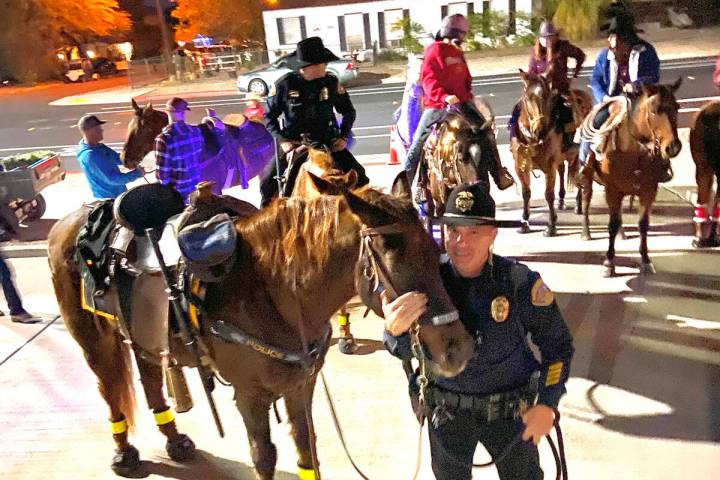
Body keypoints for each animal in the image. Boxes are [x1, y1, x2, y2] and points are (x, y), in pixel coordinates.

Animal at [43, 171, 472, 478]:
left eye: (435, 248)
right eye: (393, 256)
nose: (457, 349)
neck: (275, 292)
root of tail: (72, 219)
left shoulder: (300, 386)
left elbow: (307, 451)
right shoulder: (249, 395)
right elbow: (263, 457)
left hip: (143, 335)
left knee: (150, 377)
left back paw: (174, 439)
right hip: (93, 339)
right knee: (109, 389)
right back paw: (124, 453)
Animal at [510, 69, 592, 236]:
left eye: (546, 96)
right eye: (528, 98)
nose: (540, 130)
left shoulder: (549, 165)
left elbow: (548, 194)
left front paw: (551, 225)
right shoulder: (520, 166)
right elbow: (526, 192)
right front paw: (524, 222)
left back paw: (578, 205)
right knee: (562, 171)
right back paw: (562, 201)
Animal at [576, 79, 684, 278]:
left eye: (677, 107)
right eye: (654, 110)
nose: (673, 147)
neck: (634, 152)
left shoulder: (649, 190)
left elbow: (643, 224)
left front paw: (646, 260)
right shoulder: (612, 190)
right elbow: (611, 224)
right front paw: (609, 263)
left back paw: (621, 233)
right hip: (587, 179)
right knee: (586, 201)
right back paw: (586, 232)